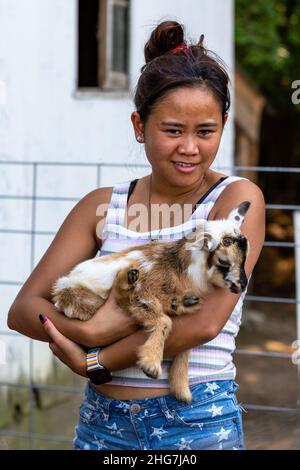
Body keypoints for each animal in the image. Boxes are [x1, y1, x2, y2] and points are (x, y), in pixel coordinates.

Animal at [52, 200, 251, 402]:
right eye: (224, 261)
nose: (242, 285)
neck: (182, 268)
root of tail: (60, 292)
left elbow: (187, 346)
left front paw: (181, 390)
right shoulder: (143, 293)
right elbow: (164, 322)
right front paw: (151, 366)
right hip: (84, 302)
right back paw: (128, 280)